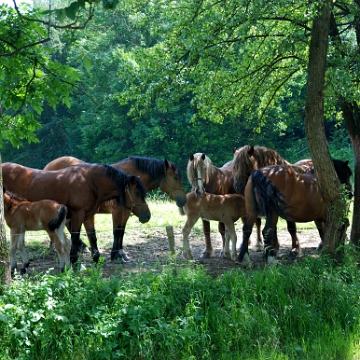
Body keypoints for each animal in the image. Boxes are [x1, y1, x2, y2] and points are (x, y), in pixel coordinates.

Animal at [1, 162, 150, 264]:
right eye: (137, 192)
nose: (147, 216)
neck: (90, 182)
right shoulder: (78, 215)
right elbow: (74, 236)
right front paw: (74, 261)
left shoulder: (88, 216)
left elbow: (92, 237)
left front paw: (96, 258)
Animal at [43, 155, 187, 262]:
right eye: (175, 177)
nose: (183, 200)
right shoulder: (118, 211)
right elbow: (117, 232)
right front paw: (115, 255)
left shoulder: (127, 211)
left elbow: (121, 231)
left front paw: (121, 253)